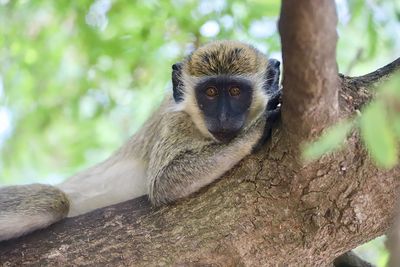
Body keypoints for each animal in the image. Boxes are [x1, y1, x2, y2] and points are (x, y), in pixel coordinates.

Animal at [0, 40, 282, 243]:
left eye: (235, 91)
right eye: (210, 92)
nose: (223, 117)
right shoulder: (175, 121)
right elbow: (164, 182)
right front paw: (259, 125)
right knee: (52, 200)